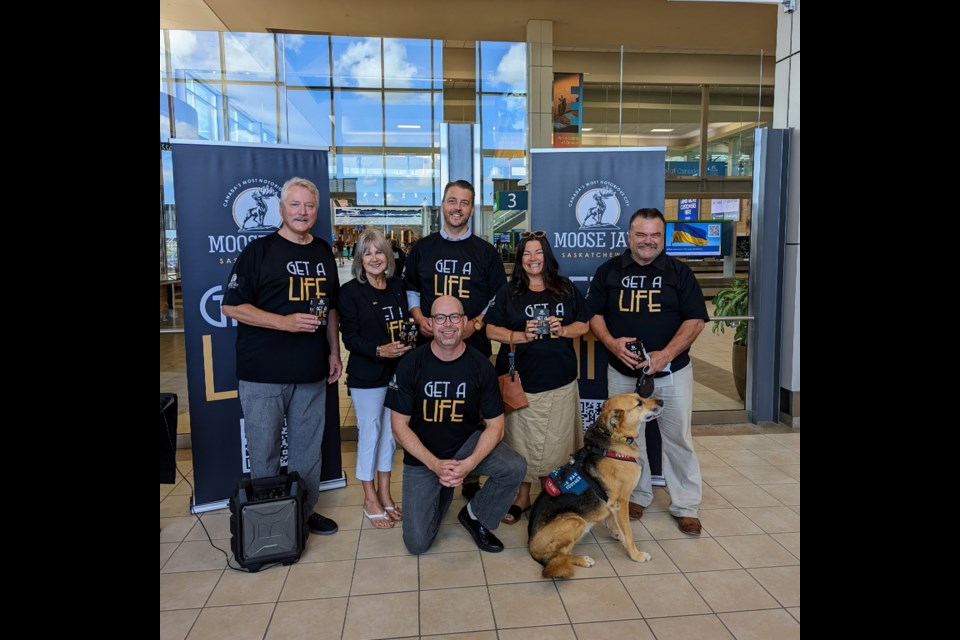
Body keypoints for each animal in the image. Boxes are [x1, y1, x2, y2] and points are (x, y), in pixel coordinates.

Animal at [528, 396, 664, 580]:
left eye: (641, 397)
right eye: (639, 403)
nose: (662, 401)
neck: (614, 438)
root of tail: (531, 546)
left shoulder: (613, 504)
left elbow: (614, 522)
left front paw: (617, 534)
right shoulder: (622, 502)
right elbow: (629, 532)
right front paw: (635, 554)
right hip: (575, 520)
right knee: (556, 556)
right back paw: (582, 559)